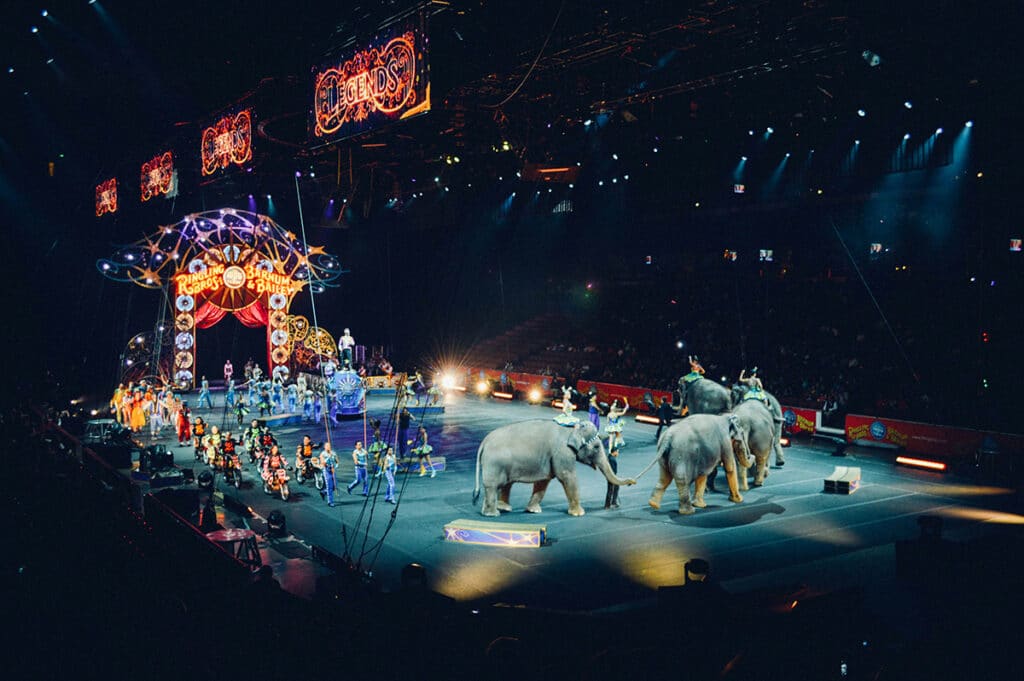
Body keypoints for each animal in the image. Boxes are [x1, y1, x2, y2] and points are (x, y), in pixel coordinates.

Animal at [468, 419, 630, 516]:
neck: (571, 429)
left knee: (506, 484)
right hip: (495, 464)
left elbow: (543, 481)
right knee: (493, 486)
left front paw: (533, 511)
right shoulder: (562, 453)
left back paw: (501, 509)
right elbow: (567, 477)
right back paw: (493, 514)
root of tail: (484, 441)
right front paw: (579, 513)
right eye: (596, 447)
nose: (631, 482)